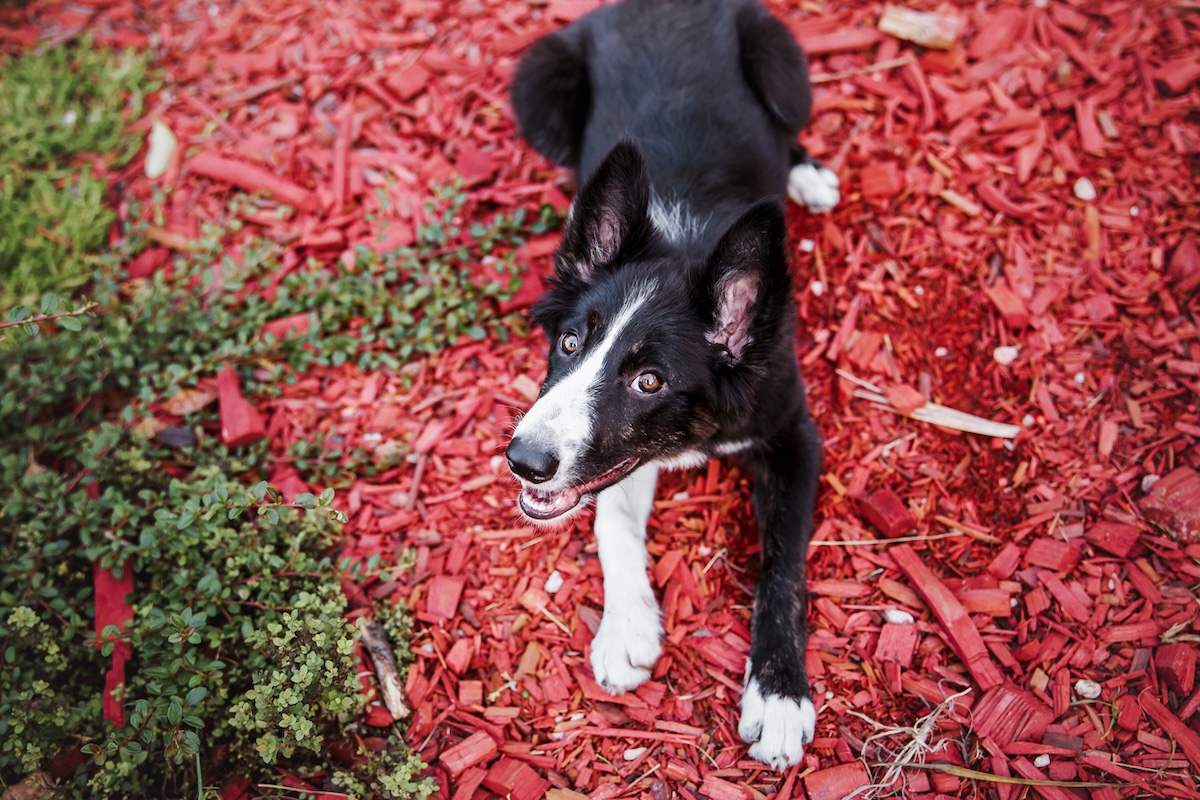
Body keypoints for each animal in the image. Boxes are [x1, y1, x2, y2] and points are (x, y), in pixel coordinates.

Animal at [508, 0, 844, 767]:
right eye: (569, 343)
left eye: (649, 380)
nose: (522, 461)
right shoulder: (619, 460)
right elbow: (608, 516)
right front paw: (627, 629)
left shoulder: (794, 435)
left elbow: (783, 569)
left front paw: (779, 697)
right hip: (539, 86)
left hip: (783, 65)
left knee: (789, 125)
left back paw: (808, 175)